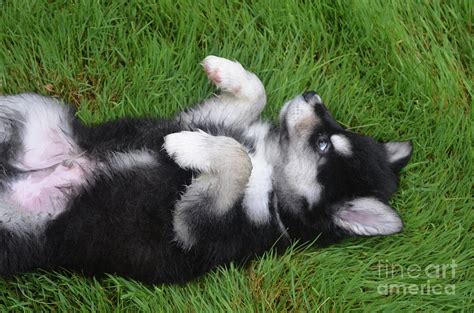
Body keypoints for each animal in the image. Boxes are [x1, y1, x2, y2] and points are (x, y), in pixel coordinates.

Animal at [0, 55, 412, 282]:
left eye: (324, 143)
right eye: (335, 130)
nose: (312, 95)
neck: (272, 174)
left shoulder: (193, 226)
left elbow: (238, 160)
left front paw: (185, 147)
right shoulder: (204, 117)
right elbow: (257, 93)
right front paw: (223, 70)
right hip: (36, 111)